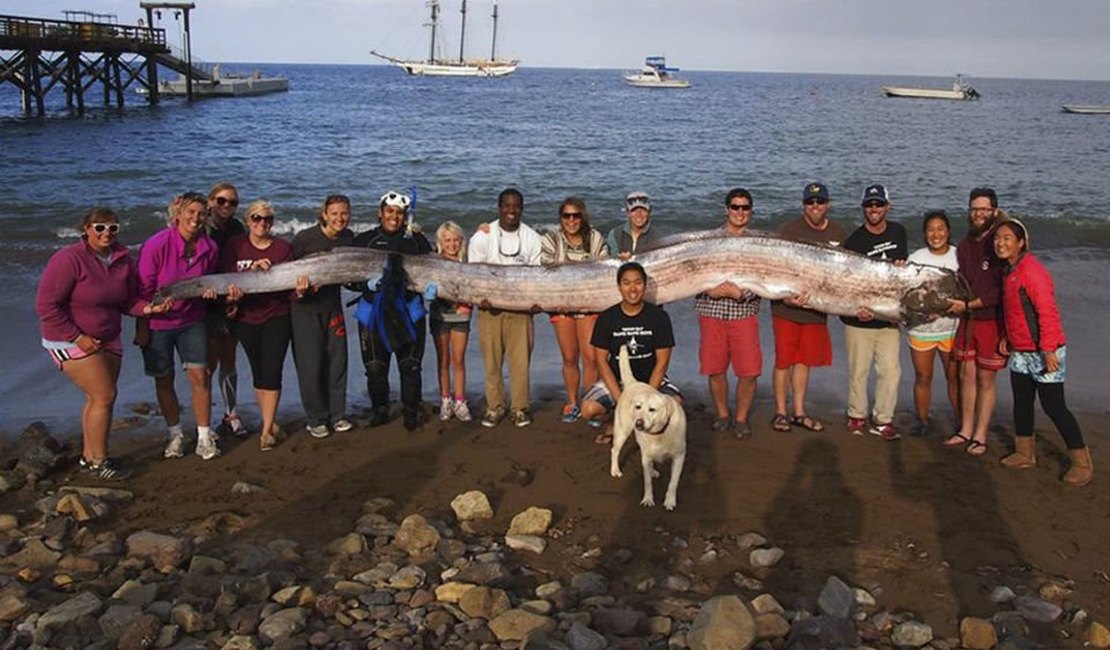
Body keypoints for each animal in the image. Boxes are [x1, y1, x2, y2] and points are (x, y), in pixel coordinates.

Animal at [608, 343, 683, 505]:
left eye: (652, 409)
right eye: (638, 407)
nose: (638, 423)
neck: (659, 433)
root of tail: (633, 383)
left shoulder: (679, 457)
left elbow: (673, 483)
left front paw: (670, 502)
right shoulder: (646, 455)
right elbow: (647, 482)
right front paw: (648, 499)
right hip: (622, 431)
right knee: (615, 450)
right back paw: (615, 470)